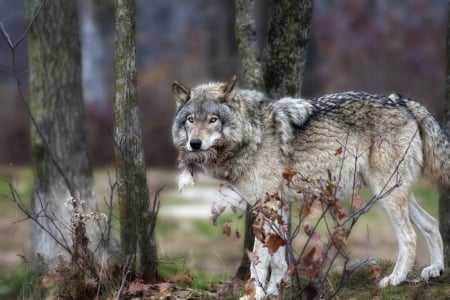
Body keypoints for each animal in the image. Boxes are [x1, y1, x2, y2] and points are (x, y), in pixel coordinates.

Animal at [171, 76, 450, 298]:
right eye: (190, 120)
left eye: (213, 120)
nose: (195, 143)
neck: (252, 134)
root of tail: (401, 101)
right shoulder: (278, 204)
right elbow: (278, 258)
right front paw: (274, 291)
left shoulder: (266, 203)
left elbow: (260, 260)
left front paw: (255, 295)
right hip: (392, 192)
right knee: (431, 223)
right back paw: (435, 270)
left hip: (386, 193)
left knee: (409, 236)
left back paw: (395, 279)